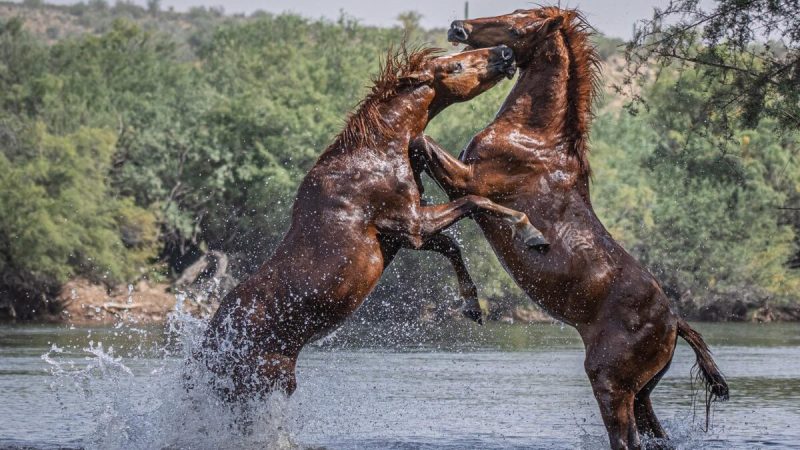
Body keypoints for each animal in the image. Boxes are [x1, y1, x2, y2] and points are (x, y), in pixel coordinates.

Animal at [202, 44, 552, 400]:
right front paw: (531, 231)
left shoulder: (402, 235)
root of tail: (211, 347)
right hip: (265, 380)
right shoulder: (411, 224)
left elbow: (452, 245)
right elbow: (475, 202)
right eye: (455, 66)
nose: (505, 52)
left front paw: (472, 306)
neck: (381, 151)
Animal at [412, 7, 732, 450]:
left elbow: (421, 143)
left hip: (610, 385)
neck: (533, 135)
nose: (458, 27)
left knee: (625, 440)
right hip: (641, 394)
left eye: (517, 24)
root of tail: (674, 323)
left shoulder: (468, 179)